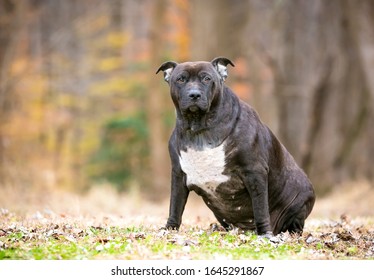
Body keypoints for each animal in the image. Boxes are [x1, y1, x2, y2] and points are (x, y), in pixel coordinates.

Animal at [156, 57, 316, 236]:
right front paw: (169, 229)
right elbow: (175, 206)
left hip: (300, 201)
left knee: (294, 223)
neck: (200, 130)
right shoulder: (178, 174)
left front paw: (265, 234)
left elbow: (260, 208)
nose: (194, 94)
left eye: (207, 78)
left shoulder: (254, 172)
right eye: (181, 79)